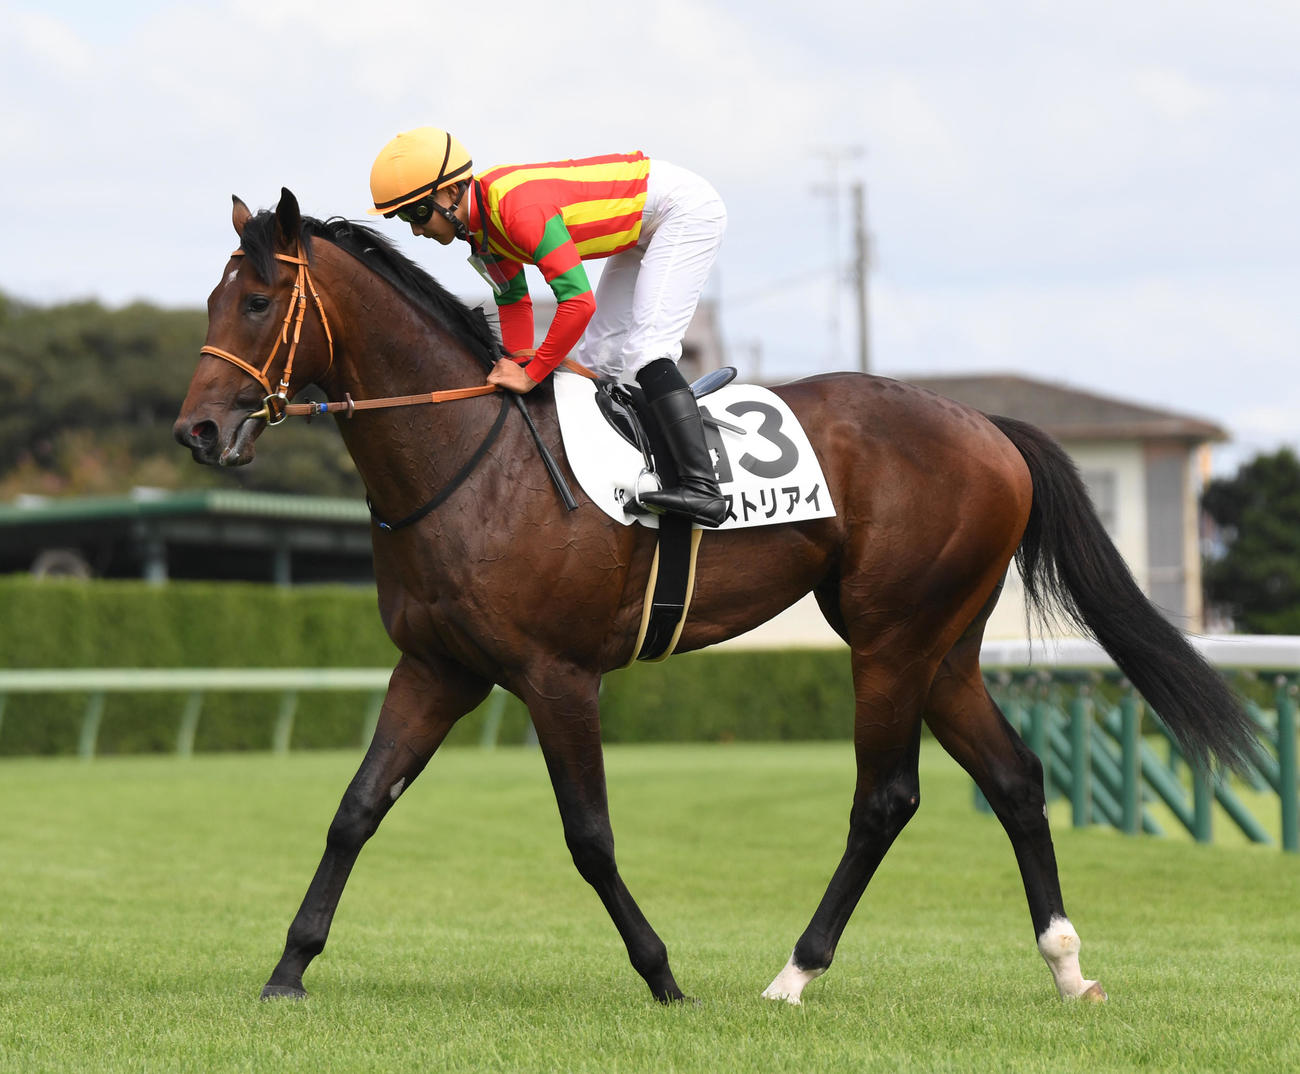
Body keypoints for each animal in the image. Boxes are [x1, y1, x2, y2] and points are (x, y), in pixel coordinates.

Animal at [174, 188, 1258, 1007]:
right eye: (214, 302)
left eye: (260, 300)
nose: (198, 432)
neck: (470, 460)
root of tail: (990, 427)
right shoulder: (438, 667)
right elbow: (354, 810)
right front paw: (288, 969)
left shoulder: (556, 677)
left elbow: (589, 837)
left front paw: (662, 976)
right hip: (945, 645)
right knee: (1016, 780)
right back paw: (1066, 968)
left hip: (890, 638)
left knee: (886, 797)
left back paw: (794, 974)